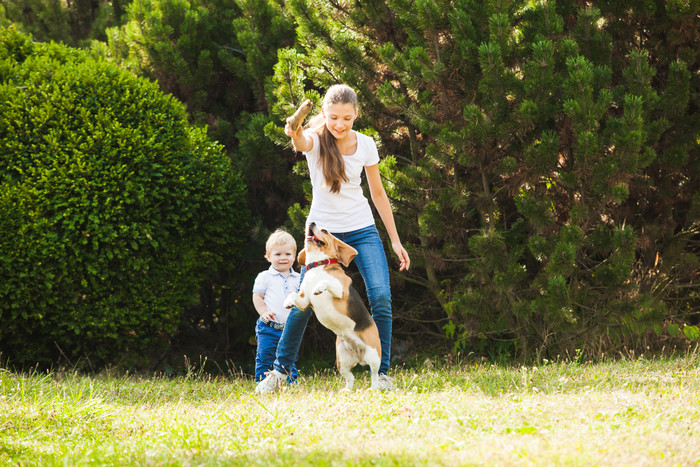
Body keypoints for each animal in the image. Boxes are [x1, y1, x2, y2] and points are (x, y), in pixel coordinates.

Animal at [284, 223, 382, 392]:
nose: (311, 223)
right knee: (351, 377)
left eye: (325, 231)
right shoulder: (304, 301)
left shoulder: (340, 291)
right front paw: (288, 301)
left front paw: (319, 287)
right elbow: (295, 296)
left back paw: (374, 389)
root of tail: (359, 355)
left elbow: (327, 282)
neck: (317, 266)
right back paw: (347, 390)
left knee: (374, 374)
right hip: (341, 360)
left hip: (374, 356)